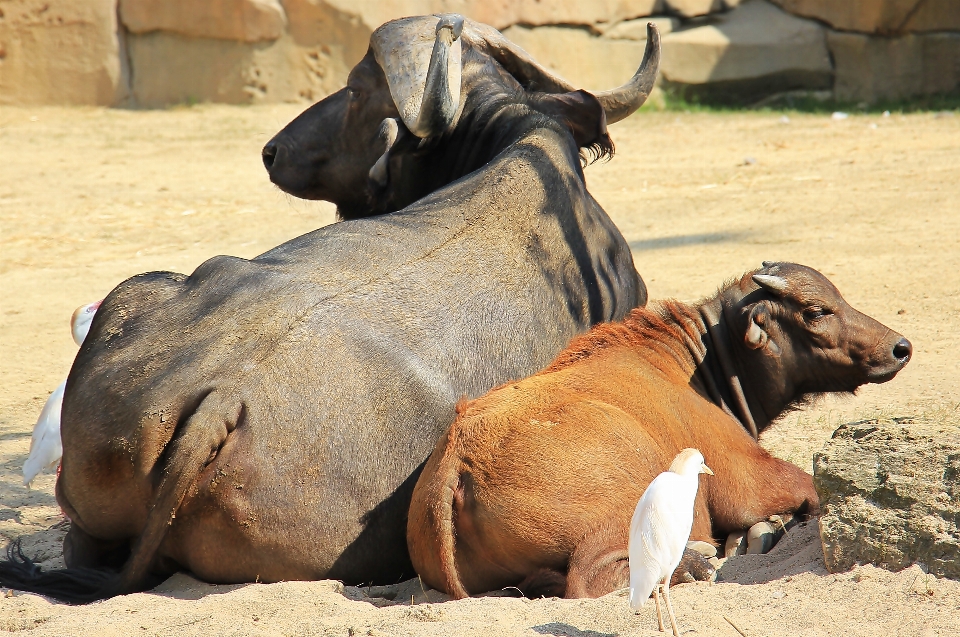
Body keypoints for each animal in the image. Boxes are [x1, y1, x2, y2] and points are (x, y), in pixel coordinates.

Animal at [406, 260, 916, 600]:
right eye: (816, 310)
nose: (900, 347)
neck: (696, 365)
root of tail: (459, 461)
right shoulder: (749, 477)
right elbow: (806, 488)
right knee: (588, 578)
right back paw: (694, 563)